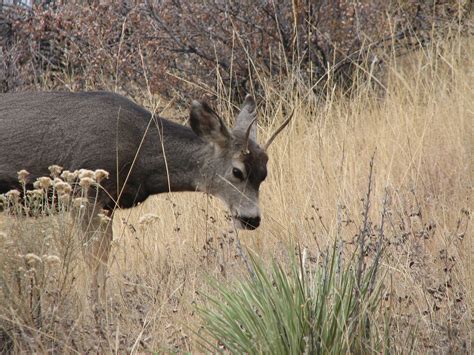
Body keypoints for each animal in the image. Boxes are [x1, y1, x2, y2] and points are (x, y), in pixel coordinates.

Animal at [0, 91, 290, 300]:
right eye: (237, 171)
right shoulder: (86, 194)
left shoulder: (108, 204)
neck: (141, 153)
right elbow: (94, 258)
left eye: (264, 174)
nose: (252, 219)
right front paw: (95, 309)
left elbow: (103, 256)